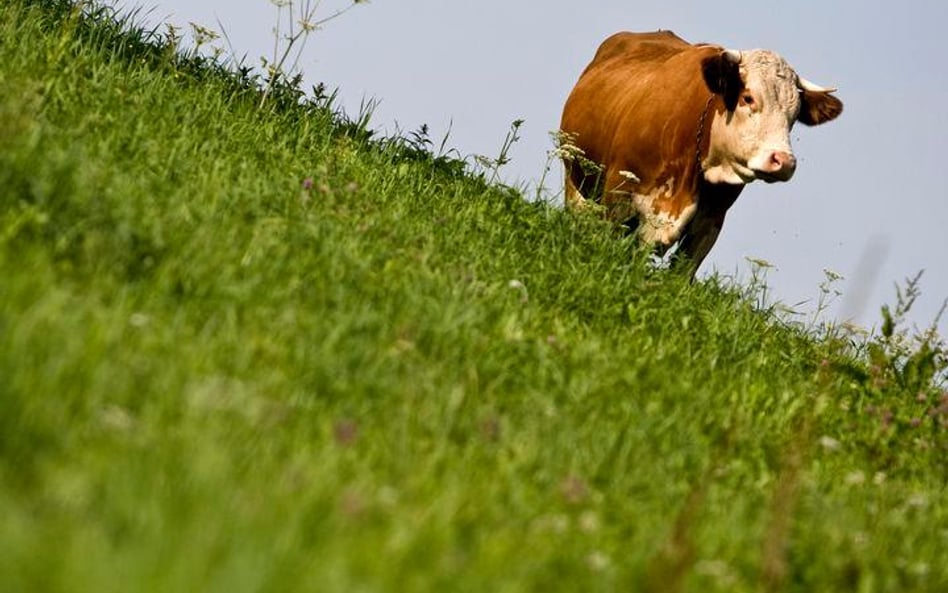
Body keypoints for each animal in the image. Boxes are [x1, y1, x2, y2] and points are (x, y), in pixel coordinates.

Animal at [560, 31, 840, 274]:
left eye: (794, 114)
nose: (783, 161)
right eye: (748, 98)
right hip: (574, 179)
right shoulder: (619, 195)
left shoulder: (710, 221)